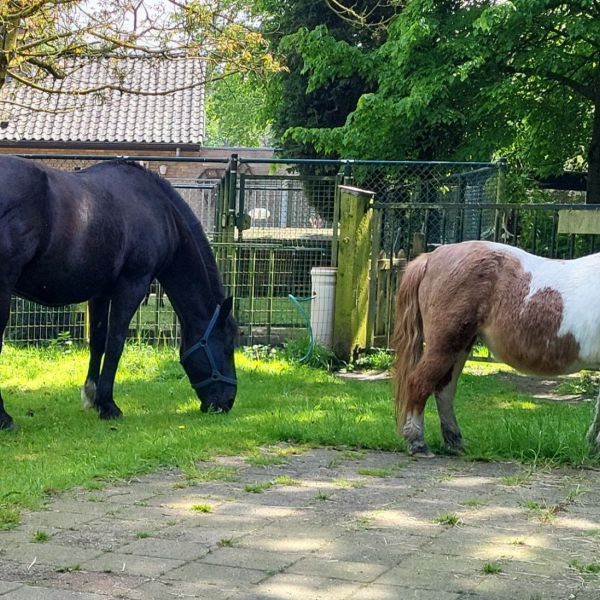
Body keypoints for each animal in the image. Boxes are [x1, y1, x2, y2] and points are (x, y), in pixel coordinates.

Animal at [0, 155, 237, 426]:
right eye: (229, 345)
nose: (228, 402)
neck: (159, 210)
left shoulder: (100, 292)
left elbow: (98, 341)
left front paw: (92, 396)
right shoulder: (132, 285)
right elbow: (115, 343)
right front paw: (108, 405)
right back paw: (4, 417)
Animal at [394, 239, 600, 454]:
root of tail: (432, 257)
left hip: (461, 346)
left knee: (445, 390)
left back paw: (455, 442)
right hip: (444, 345)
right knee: (419, 383)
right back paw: (417, 443)